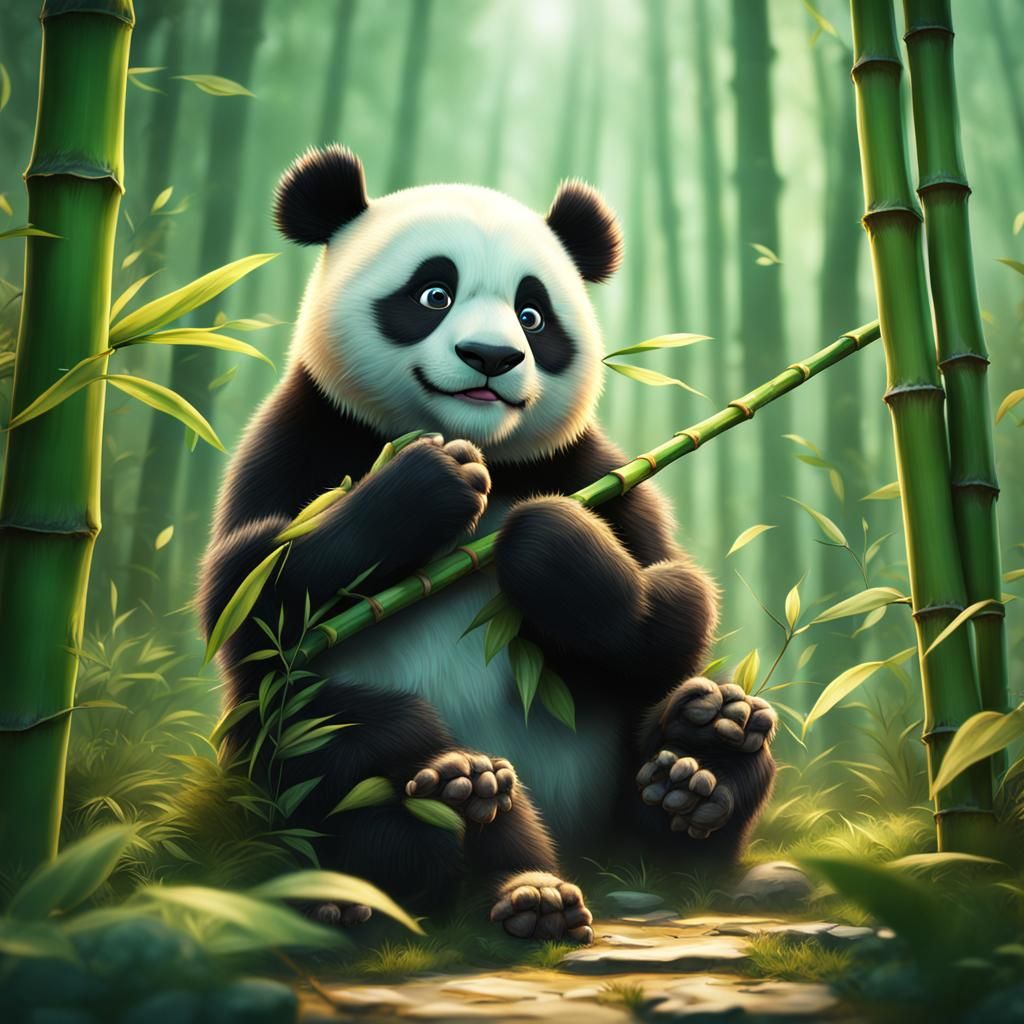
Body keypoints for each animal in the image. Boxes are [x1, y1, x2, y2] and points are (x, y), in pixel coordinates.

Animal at [198, 145, 776, 943]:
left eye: (533, 314)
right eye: (433, 294)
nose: (490, 357)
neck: (485, 448)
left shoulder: (592, 471)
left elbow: (676, 603)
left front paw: (547, 539)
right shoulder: (304, 438)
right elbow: (249, 597)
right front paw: (429, 485)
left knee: (688, 730)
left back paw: (698, 765)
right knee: (322, 737)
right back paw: (459, 827)